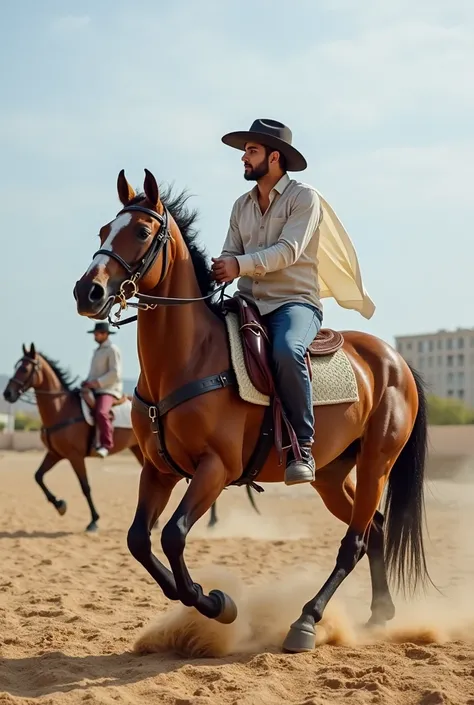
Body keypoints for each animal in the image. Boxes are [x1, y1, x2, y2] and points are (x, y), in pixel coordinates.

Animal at [72, 168, 432, 652]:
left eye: (142, 232)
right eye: (103, 231)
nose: (87, 291)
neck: (189, 357)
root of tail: (395, 361)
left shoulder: (215, 468)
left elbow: (173, 535)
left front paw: (216, 603)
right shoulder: (159, 470)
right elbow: (139, 541)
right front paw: (205, 600)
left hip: (377, 464)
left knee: (354, 541)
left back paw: (306, 622)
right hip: (332, 475)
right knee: (372, 528)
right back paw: (378, 615)